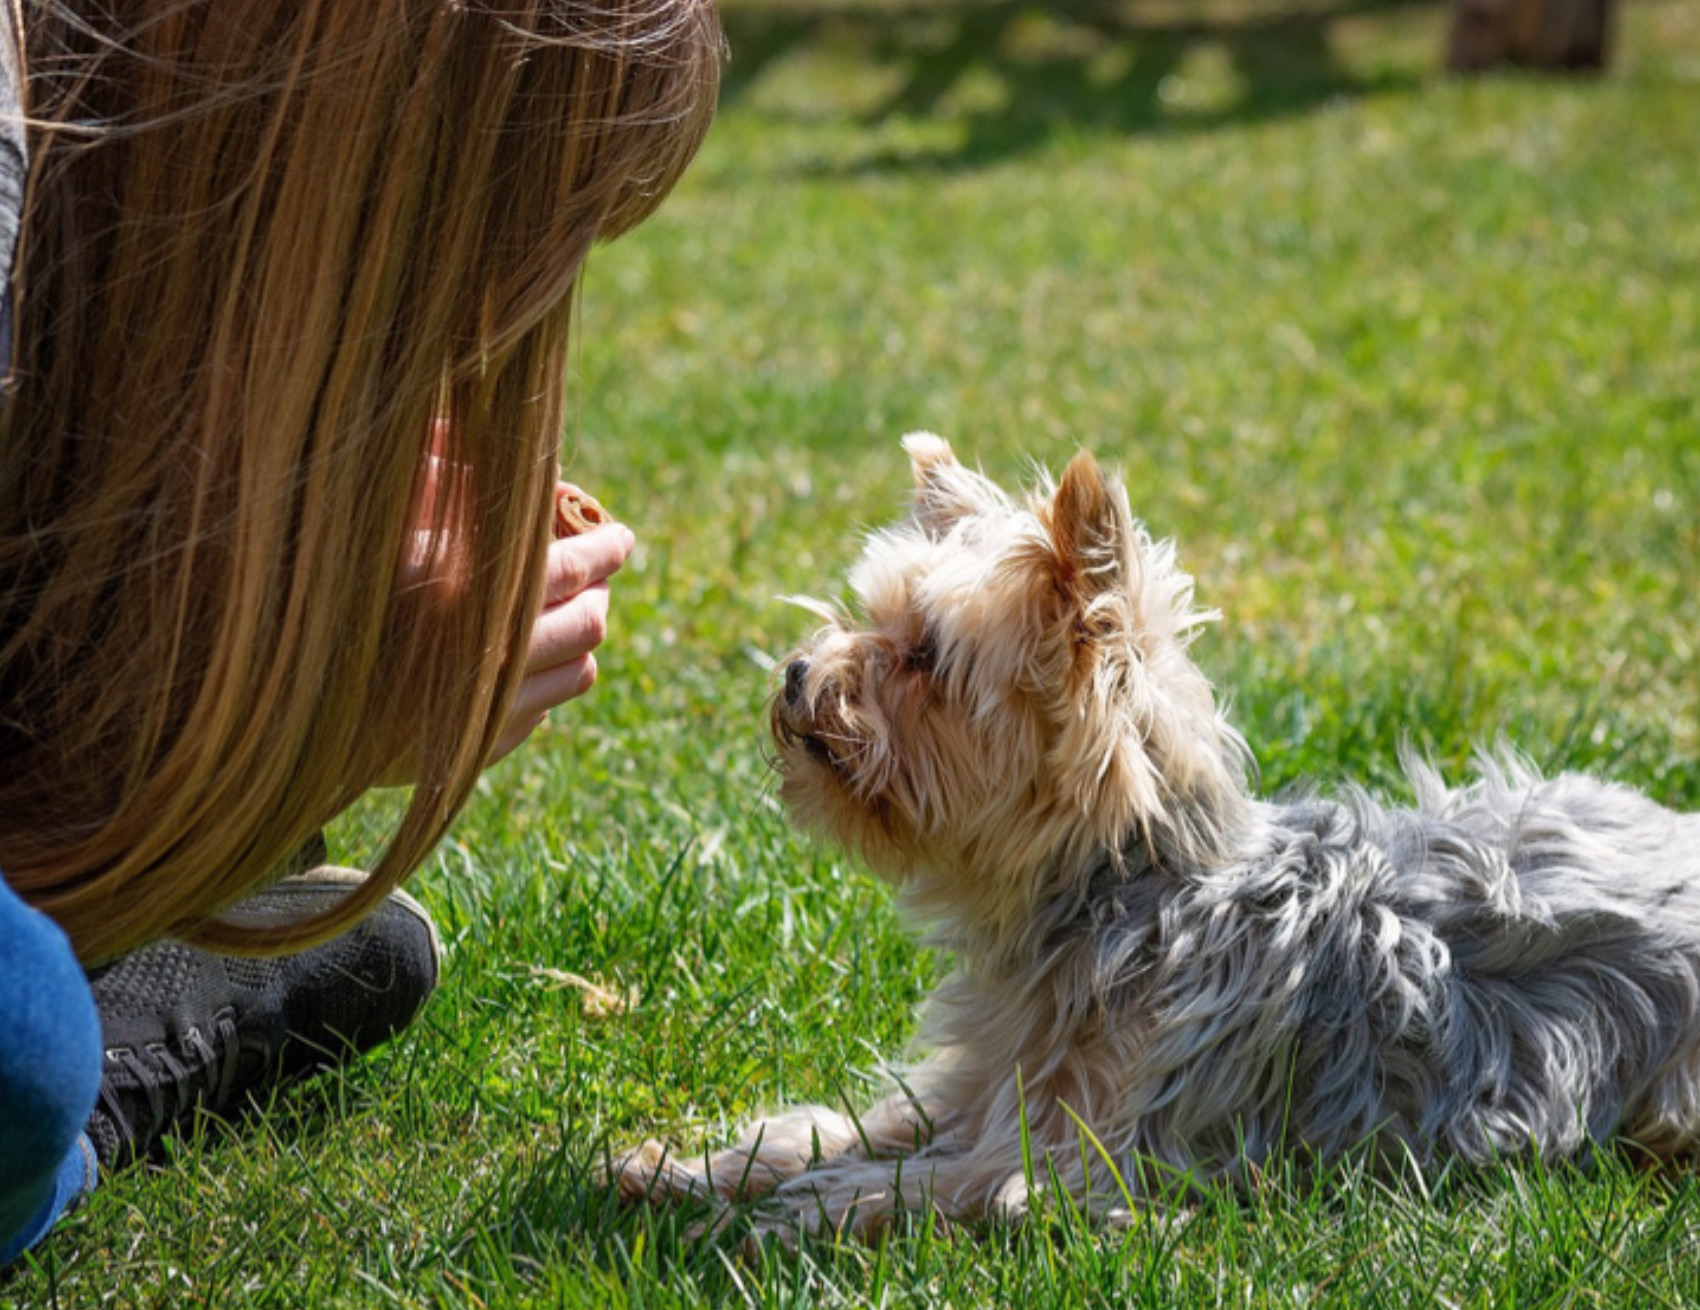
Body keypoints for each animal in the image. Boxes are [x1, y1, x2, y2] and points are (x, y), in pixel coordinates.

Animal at [618, 434, 1700, 1236]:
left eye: (923, 655)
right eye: (867, 616)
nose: (798, 671)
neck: (1120, 896)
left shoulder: (1102, 1157)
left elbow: (960, 1180)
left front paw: (800, 1210)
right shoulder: (981, 1081)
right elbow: (851, 1125)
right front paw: (691, 1166)